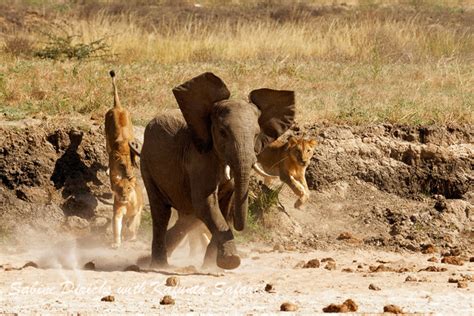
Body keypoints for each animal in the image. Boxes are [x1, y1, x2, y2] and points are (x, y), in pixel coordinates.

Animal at [141, 72, 294, 270]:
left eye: (256, 134)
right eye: (222, 132)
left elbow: (224, 208)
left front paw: (211, 266)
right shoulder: (199, 158)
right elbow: (206, 203)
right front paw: (230, 262)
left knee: (189, 217)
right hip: (147, 164)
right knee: (161, 212)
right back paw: (159, 266)